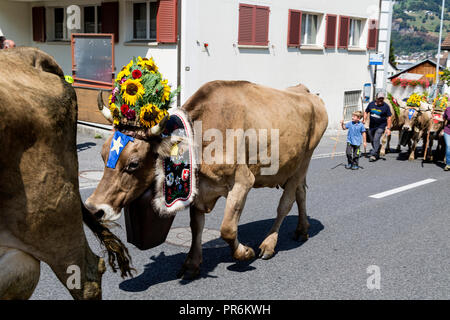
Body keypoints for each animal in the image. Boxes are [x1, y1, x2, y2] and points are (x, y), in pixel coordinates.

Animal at [87, 58, 326, 280]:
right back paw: (302, 229)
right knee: (301, 192)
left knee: (285, 203)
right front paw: (192, 264)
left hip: (304, 160)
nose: (93, 208)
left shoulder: (243, 180)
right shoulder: (198, 187)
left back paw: (268, 244)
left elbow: (227, 228)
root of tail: (306, 91)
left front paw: (245, 252)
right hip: (293, 165)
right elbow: (196, 226)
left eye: (133, 163)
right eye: (103, 154)